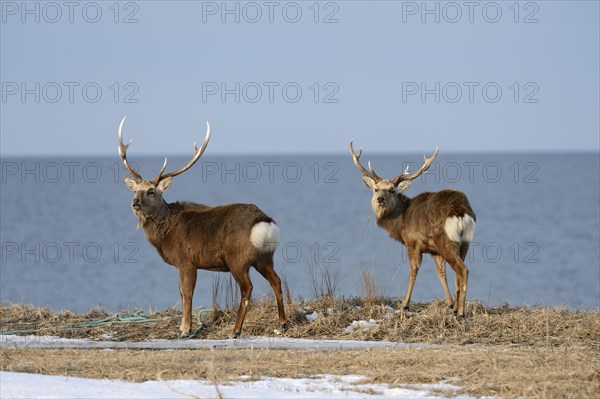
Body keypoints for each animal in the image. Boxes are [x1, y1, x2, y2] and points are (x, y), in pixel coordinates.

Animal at [118, 117, 288, 340]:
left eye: (151, 191)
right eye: (135, 190)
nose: (135, 202)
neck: (165, 233)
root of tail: (265, 222)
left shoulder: (187, 261)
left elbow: (187, 293)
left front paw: (185, 329)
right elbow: (182, 293)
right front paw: (183, 327)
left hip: (238, 258)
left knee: (247, 289)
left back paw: (235, 330)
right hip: (264, 257)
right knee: (277, 281)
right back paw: (283, 323)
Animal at [350, 142, 476, 318]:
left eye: (392, 190)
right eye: (376, 189)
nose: (380, 199)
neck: (401, 221)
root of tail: (460, 211)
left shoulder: (412, 242)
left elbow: (413, 271)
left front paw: (405, 305)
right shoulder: (434, 251)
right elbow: (441, 273)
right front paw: (451, 304)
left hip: (446, 241)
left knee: (463, 270)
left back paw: (462, 312)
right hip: (464, 243)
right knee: (458, 271)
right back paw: (458, 308)